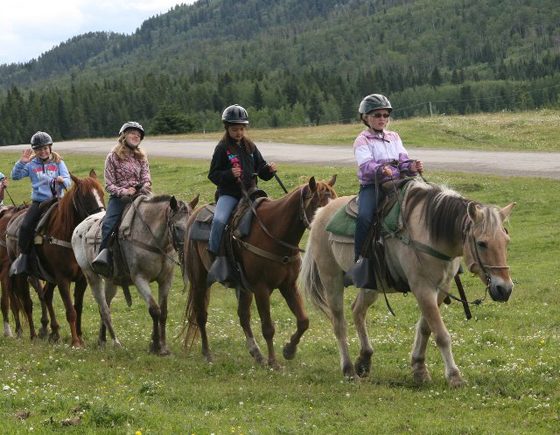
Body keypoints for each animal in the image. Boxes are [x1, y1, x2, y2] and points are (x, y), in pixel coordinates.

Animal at [5, 170, 104, 348]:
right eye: (85, 197)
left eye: (102, 193)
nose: (101, 218)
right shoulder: (63, 279)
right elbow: (70, 310)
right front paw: (75, 342)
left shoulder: (81, 279)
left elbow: (78, 307)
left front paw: (80, 337)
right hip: (22, 275)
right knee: (27, 302)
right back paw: (33, 334)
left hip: (49, 277)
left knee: (46, 295)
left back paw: (54, 332)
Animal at [71, 194, 199, 354]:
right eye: (177, 227)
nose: (187, 250)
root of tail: (78, 228)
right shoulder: (140, 278)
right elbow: (155, 310)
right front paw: (156, 346)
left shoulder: (165, 279)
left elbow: (163, 313)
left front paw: (163, 345)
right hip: (92, 277)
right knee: (104, 309)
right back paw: (116, 342)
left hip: (110, 282)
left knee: (105, 307)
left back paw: (102, 340)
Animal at [183, 175, 336, 370]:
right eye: (319, 206)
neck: (275, 234)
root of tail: (195, 214)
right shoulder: (261, 289)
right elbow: (268, 328)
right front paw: (273, 362)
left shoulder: (288, 286)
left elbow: (303, 321)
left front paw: (289, 350)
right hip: (200, 281)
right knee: (201, 315)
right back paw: (207, 353)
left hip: (243, 288)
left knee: (243, 316)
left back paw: (256, 353)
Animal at [300, 181, 516, 388]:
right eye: (482, 243)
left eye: (506, 241)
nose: (504, 289)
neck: (430, 233)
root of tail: (321, 213)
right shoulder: (423, 288)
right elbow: (441, 334)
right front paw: (454, 377)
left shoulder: (441, 289)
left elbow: (425, 328)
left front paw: (419, 368)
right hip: (331, 279)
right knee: (339, 324)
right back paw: (349, 370)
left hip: (371, 284)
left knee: (357, 310)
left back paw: (364, 360)